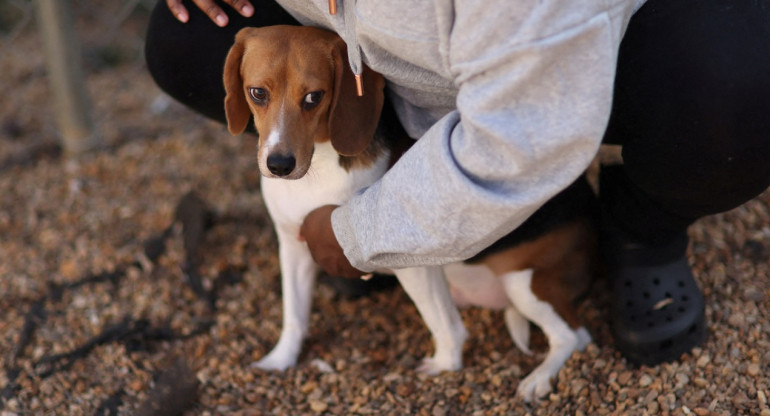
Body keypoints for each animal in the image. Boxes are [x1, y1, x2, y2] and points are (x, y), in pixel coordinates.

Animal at [225, 24, 596, 402]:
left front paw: (445, 365)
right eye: (257, 93)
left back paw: (538, 379)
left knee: (574, 336)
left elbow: (443, 322)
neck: (317, 171)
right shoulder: (293, 246)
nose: (279, 165)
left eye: (314, 97)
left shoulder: (410, 260)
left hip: (524, 283)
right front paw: (281, 359)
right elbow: (294, 315)